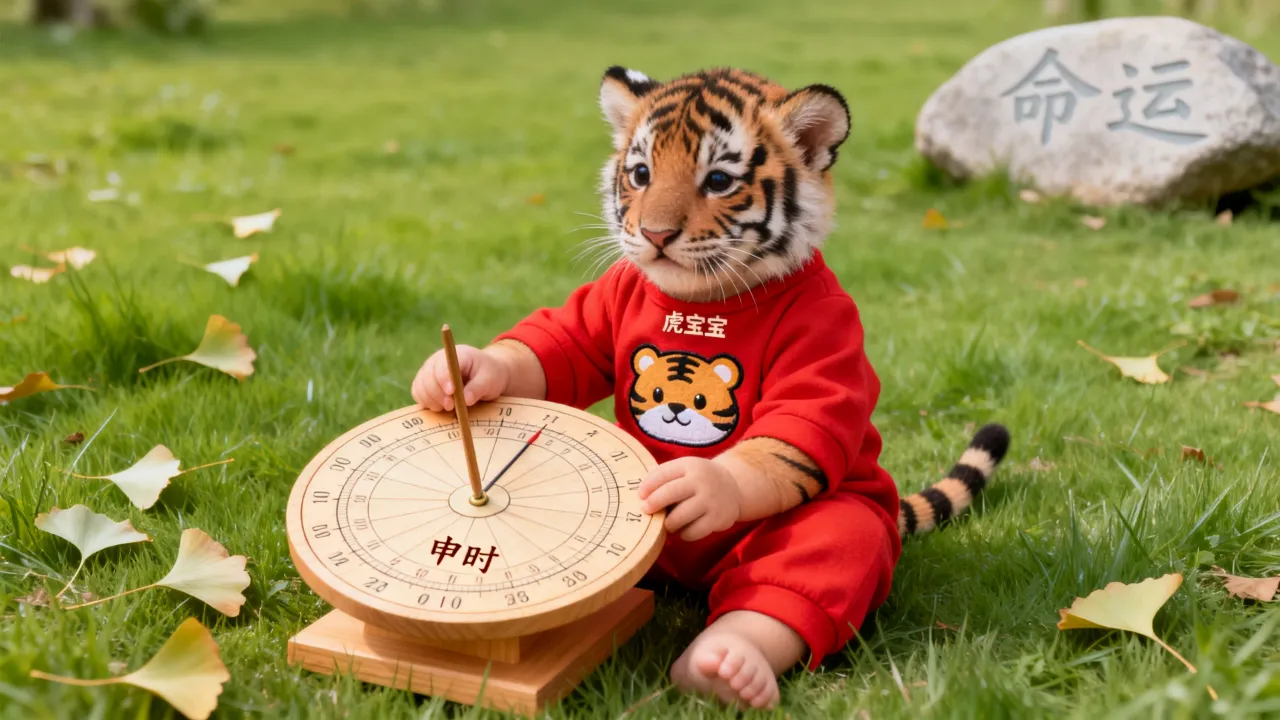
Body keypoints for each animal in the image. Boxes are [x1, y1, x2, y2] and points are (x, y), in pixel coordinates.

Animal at [597, 65, 1010, 536]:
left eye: (718, 181)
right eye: (641, 174)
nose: (656, 234)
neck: (703, 301)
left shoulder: (826, 324)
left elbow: (787, 438)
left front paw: (701, 487)